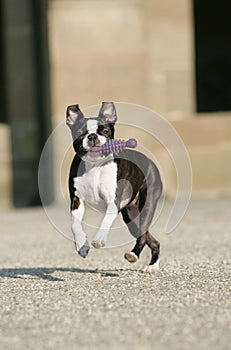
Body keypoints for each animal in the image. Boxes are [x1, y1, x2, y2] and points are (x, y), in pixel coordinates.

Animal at [66, 102, 162, 272]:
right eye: (80, 133)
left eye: (105, 131)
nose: (92, 136)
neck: (95, 166)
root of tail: (150, 162)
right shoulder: (76, 200)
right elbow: (74, 224)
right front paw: (82, 245)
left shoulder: (113, 201)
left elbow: (106, 220)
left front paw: (98, 239)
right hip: (130, 217)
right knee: (150, 238)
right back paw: (152, 264)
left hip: (147, 204)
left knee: (143, 235)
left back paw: (136, 256)